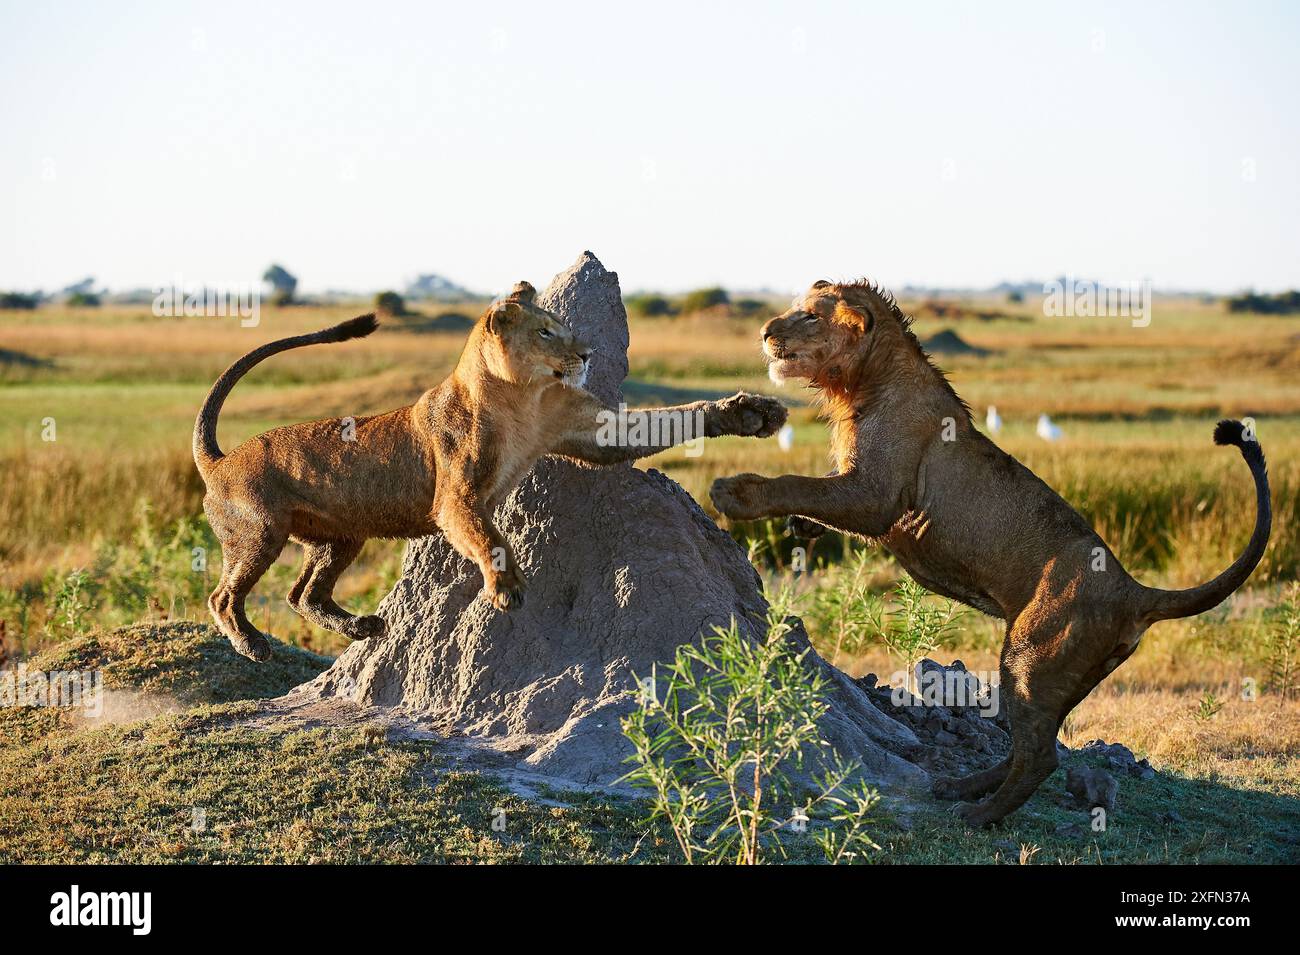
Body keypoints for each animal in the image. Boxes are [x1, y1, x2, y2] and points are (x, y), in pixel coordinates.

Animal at [191, 280, 780, 660]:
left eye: (563, 327)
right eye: (546, 333)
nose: (588, 353)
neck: (521, 397)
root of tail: (218, 458)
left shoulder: (587, 430)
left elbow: (670, 421)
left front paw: (750, 412)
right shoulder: (453, 498)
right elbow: (488, 535)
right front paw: (505, 587)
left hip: (340, 536)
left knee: (302, 595)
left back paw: (362, 626)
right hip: (260, 533)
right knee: (223, 596)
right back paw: (253, 645)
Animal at [712, 280, 1268, 826]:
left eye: (809, 315)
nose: (765, 332)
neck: (864, 380)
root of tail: (1134, 590)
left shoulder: (877, 495)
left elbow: (801, 483)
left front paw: (736, 492)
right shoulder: (862, 489)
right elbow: (819, 491)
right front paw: (800, 524)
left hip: (1031, 654)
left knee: (1040, 755)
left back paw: (977, 812)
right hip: (1068, 675)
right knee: (1032, 744)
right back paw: (962, 785)